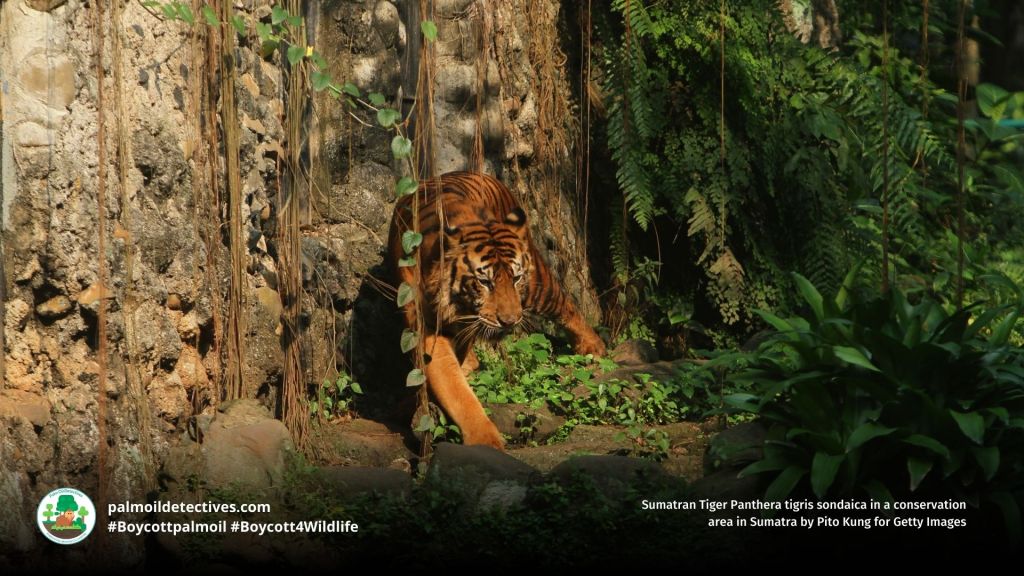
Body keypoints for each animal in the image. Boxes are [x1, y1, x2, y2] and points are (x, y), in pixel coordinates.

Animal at [387, 171, 606, 450]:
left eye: (516, 278)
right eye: (485, 282)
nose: (509, 321)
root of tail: (480, 173)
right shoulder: (427, 328)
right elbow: (454, 388)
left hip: (537, 287)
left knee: (565, 304)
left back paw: (592, 347)